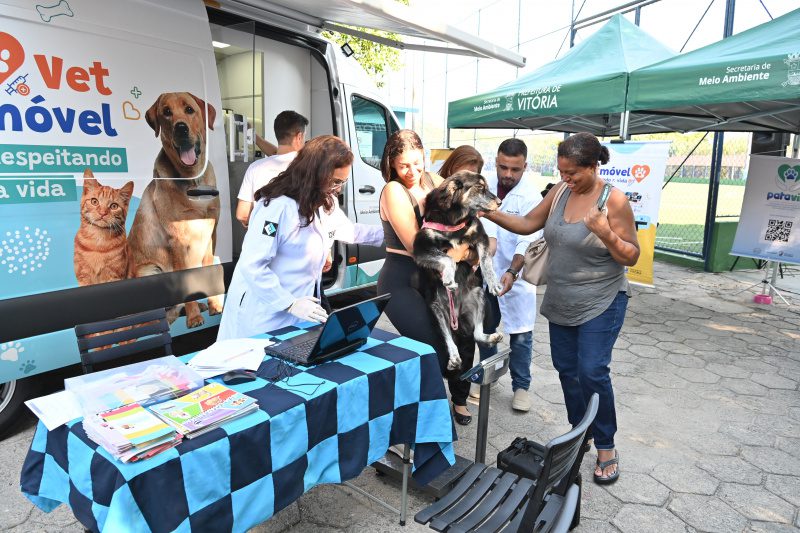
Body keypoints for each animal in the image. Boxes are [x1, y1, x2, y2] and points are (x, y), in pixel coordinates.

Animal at [416, 170, 504, 370]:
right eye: (480, 187)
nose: (500, 202)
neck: (455, 218)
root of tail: (457, 313)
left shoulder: (480, 237)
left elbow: (486, 261)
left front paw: (493, 282)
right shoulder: (421, 246)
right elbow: (447, 258)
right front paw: (449, 277)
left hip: (478, 296)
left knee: (477, 334)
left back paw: (492, 337)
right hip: (437, 312)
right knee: (449, 339)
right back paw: (454, 358)